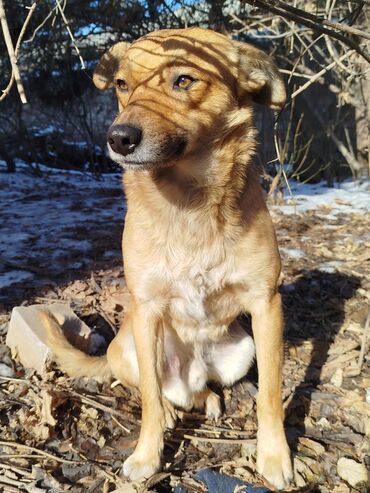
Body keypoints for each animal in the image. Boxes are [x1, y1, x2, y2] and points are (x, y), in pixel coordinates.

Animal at [46, 28, 294, 490]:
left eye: (183, 80)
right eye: (122, 84)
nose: (119, 138)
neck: (189, 200)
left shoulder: (267, 305)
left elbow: (270, 393)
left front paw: (274, 455)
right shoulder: (146, 311)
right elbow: (148, 398)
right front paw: (148, 454)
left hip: (243, 350)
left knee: (201, 389)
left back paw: (207, 399)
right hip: (129, 350)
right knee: (159, 392)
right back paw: (174, 410)